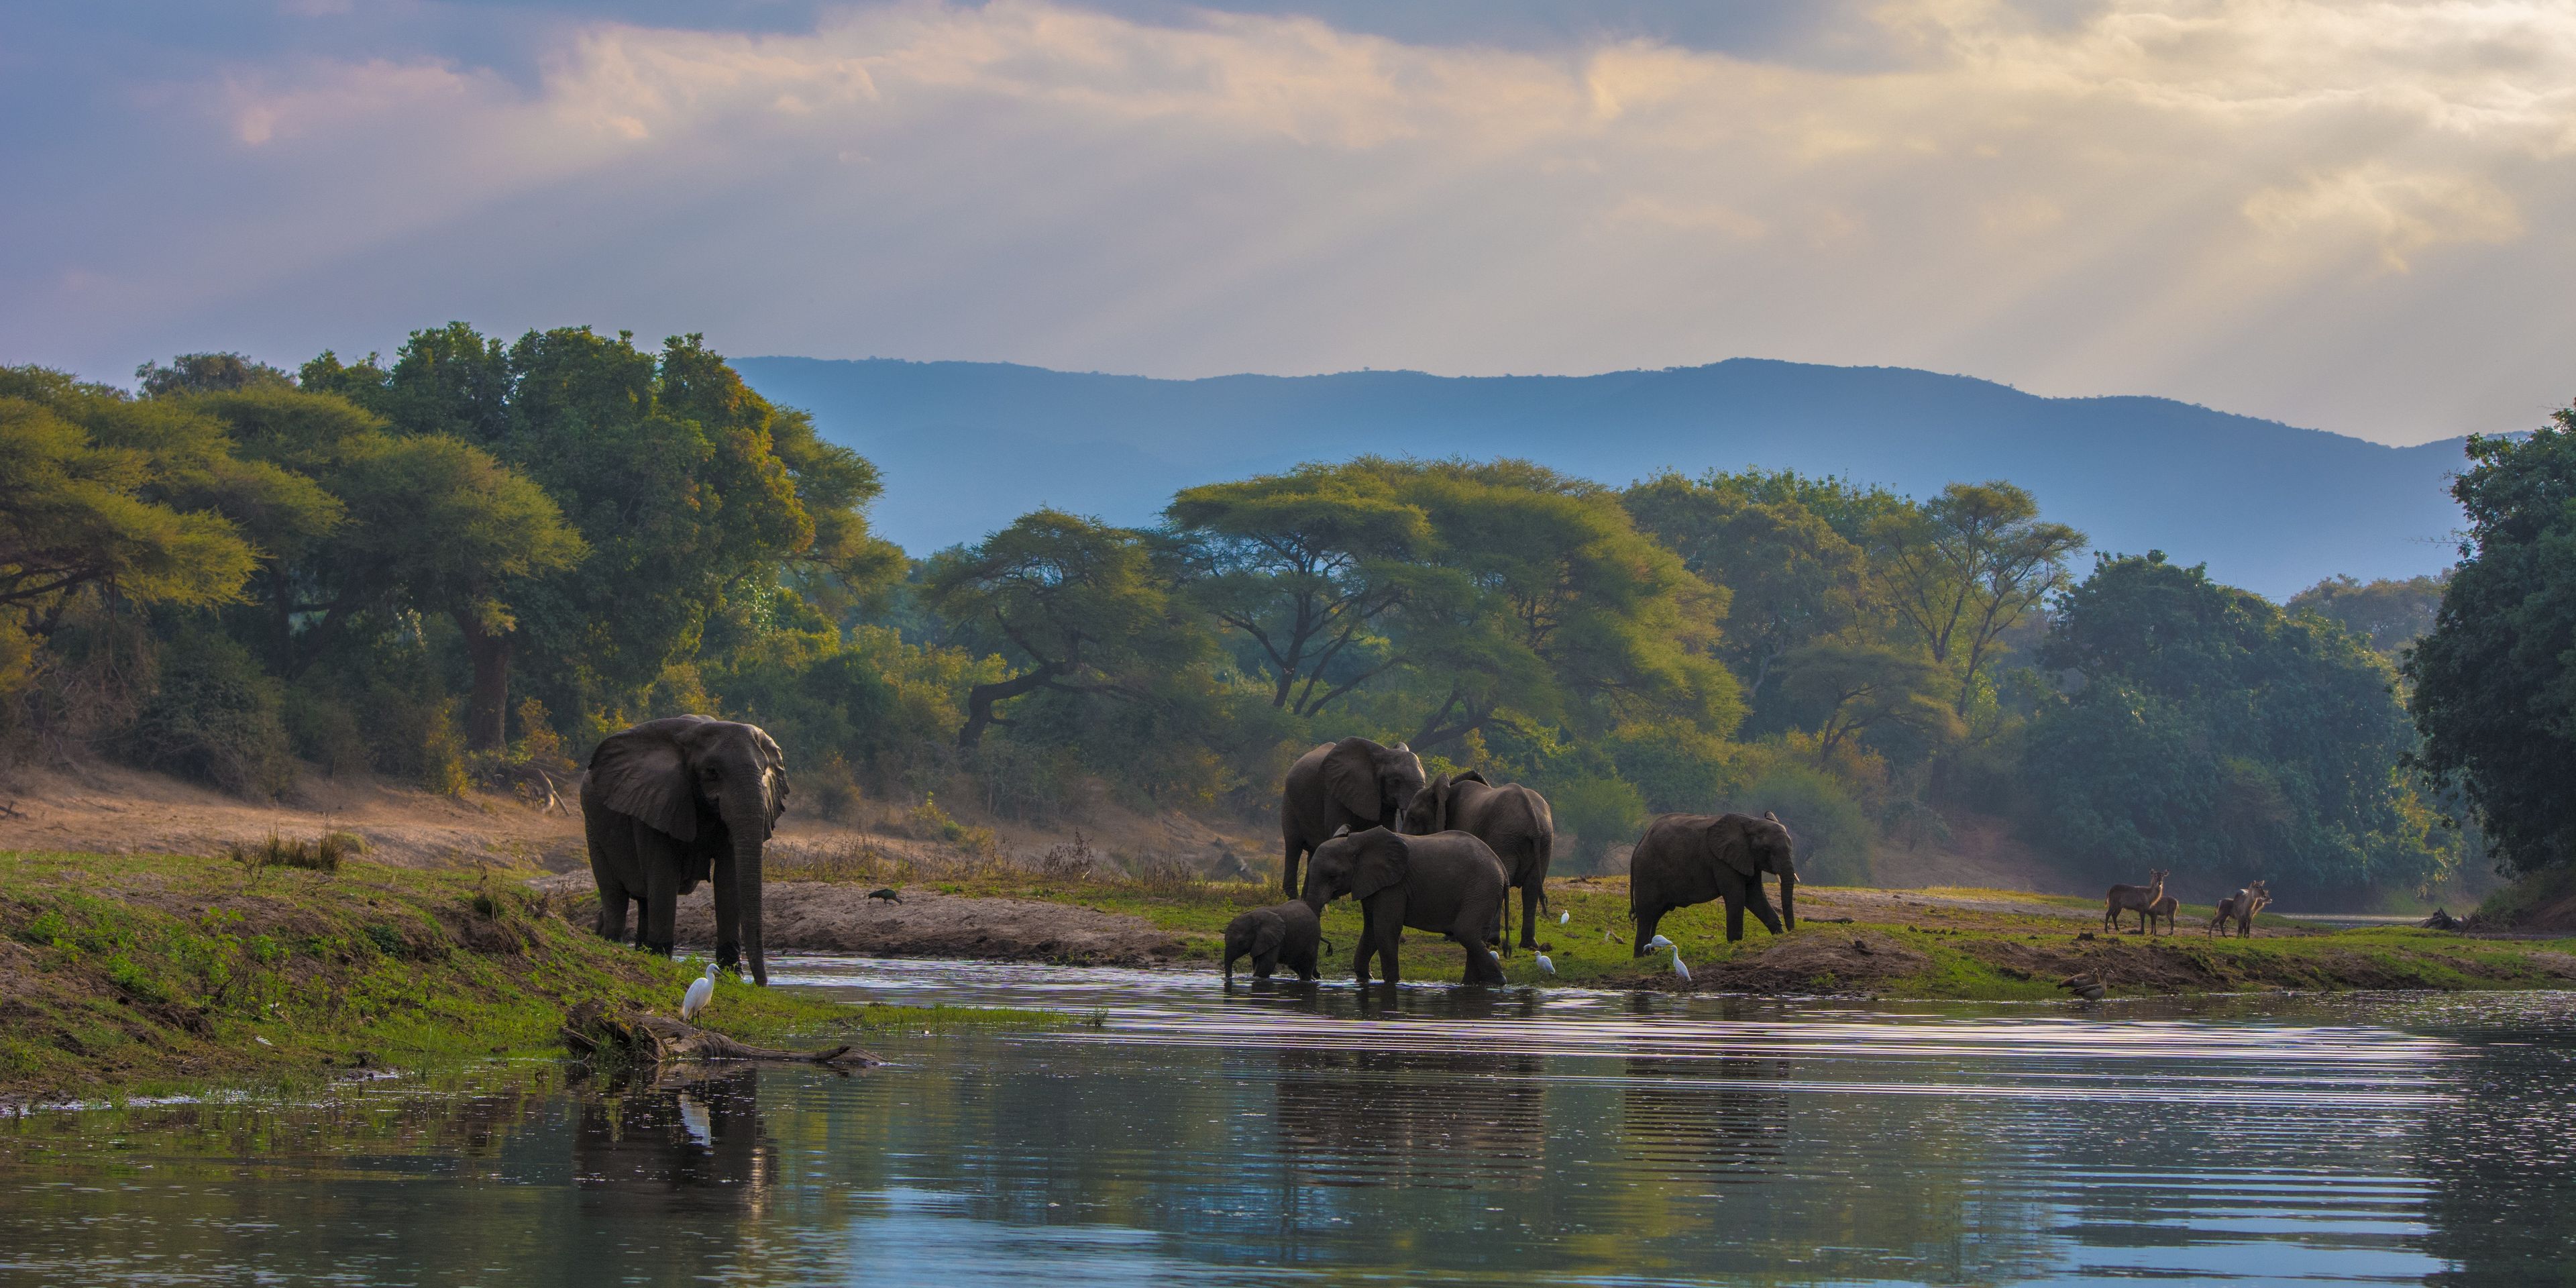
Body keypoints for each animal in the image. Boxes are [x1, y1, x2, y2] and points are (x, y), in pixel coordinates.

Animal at [581, 715, 790, 985]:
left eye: (764, 772)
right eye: (712, 772)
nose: (761, 984)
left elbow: (729, 880)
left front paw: (732, 975)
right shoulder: (654, 800)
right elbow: (663, 875)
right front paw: (662, 959)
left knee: (645, 900)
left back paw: (643, 952)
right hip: (593, 828)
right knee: (615, 894)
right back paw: (615, 943)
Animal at [1221, 900, 1331, 981]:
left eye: (1241, 942)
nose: (1228, 978)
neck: (1254, 916)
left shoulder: (1274, 939)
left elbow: (1266, 964)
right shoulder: (1260, 942)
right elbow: (1257, 963)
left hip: (1312, 939)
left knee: (1306, 966)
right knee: (1295, 965)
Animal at [1301, 825, 1509, 986]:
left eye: (1332, 877)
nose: (1317, 976)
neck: (1357, 841)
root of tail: (1502, 867)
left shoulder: (1395, 885)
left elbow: (1385, 929)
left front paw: (1392, 982)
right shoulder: (1369, 882)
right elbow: (1371, 930)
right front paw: (1365, 979)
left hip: (1481, 889)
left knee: (1466, 932)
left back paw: (1499, 982)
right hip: (1483, 892)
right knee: (1474, 937)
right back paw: (1470, 984)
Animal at [1403, 770, 1554, 953]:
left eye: (1413, 817)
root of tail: (1533, 822)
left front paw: (1451, 938)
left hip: (1506, 839)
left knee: (1505, 880)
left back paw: (1492, 941)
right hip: (1544, 842)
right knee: (1532, 888)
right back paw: (1529, 945)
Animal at [1628, 811, 1798, 952]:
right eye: (1767, 850)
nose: (1791, 932)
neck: (1752, 822)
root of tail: (1639, 845)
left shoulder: (1749, 859)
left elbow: (1755, 896)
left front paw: (1778, 935)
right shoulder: (1722, 861)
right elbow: (1736, 896)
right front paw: (1735, 944)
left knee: (1655, 915)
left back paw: (1650, 955)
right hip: (1647, 872)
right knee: (1647, 914)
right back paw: (1642, 957)